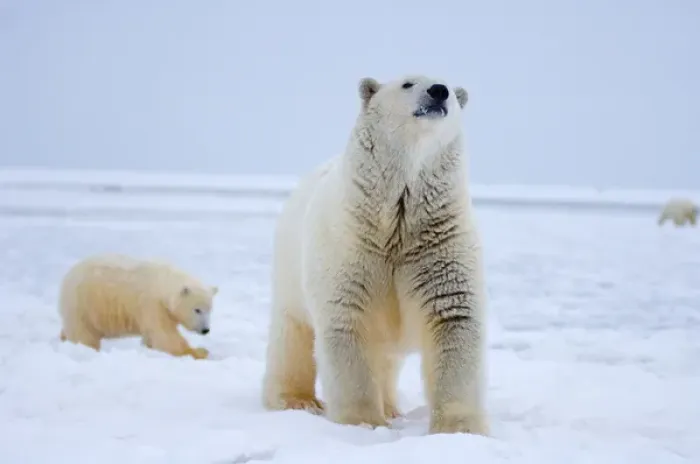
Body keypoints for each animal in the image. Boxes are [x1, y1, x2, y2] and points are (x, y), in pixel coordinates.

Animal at [58, 253, 218, 360]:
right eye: (197, 310)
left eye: (210, 309)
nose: (205, 330)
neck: (162, 281)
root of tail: (67, 277)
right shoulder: (152, 304)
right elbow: (166, 335)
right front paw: (201, 352)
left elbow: (154, 335)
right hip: (83, 304)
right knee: (84, 335)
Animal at [261, 74, 488, 436]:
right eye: (408, 83)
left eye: (450, 89)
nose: (438, 92)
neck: (396, 221)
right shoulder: (349, 246)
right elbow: (348, 322)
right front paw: (362, 422)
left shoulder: (440, 243)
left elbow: (453, 318)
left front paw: (459, 429)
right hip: (288, 269)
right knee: (291, 336)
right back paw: (295, 400)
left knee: (386, 358)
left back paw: (392, 407)